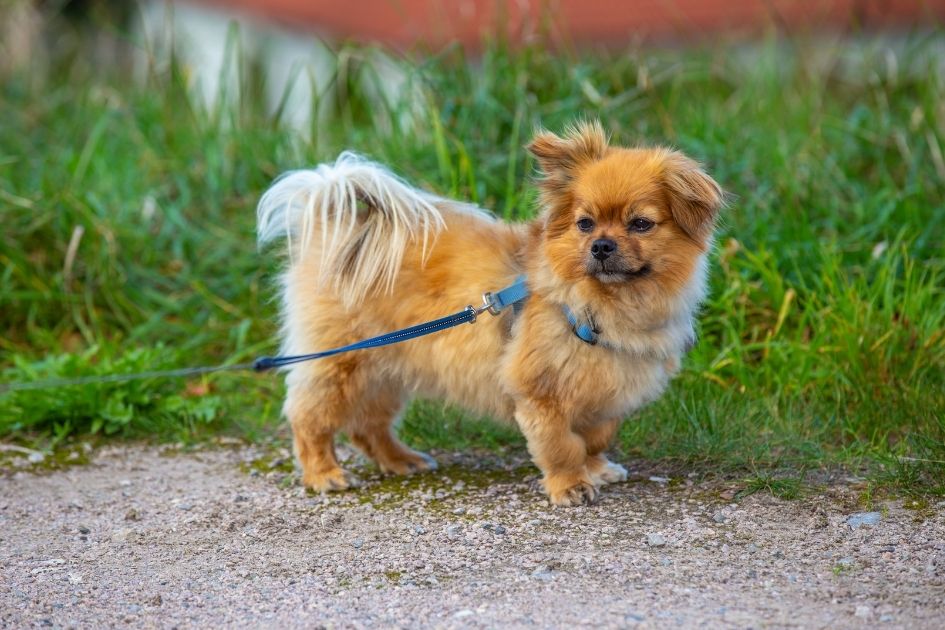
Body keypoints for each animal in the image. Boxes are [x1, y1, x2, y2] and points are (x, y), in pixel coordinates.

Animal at [254, 122, 720, 508]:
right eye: (585, 224)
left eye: (640, 224)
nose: (601, 246)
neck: (603, 304)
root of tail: (341, 228)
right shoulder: (539, 393)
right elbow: (561, 445)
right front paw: (570, 485)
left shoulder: (605, 394)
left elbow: (593, 438)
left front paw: (597, 469)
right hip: (342, 363)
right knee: (309, 418)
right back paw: (324, 474)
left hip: (387, 366)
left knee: (368, 426)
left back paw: (401, 460)